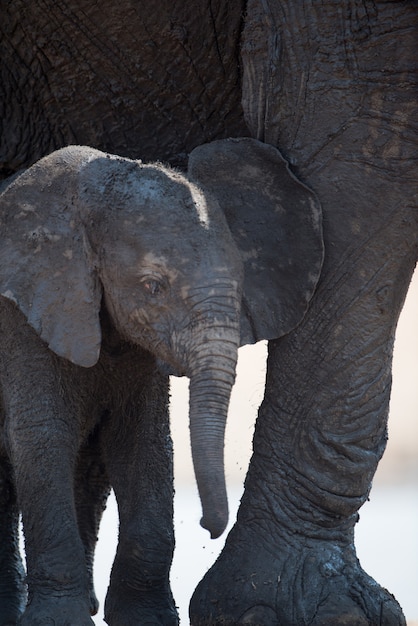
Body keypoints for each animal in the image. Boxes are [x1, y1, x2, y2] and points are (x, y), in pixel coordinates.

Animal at [0, 139, 322, 620]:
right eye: (153, 287)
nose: (209, 527)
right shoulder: (21, 320)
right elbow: (43, 438)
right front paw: (59, 622)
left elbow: (143, 443)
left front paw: (145, 619)